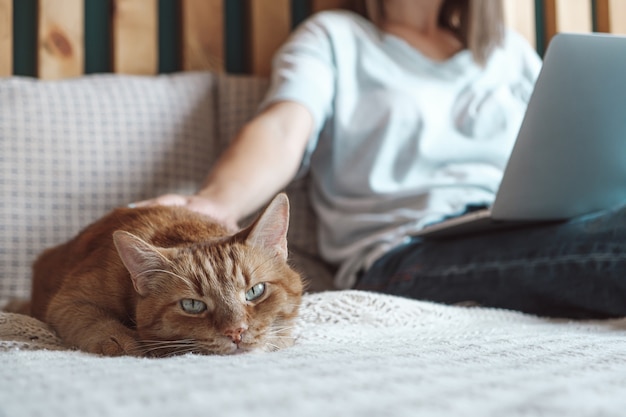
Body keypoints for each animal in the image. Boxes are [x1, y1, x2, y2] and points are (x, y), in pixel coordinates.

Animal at [28, 193, 302, 356]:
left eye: (255, 291)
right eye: (192, 305)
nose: (235, 332)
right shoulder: (68, 301)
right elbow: (94, 321)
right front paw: (123, 343)